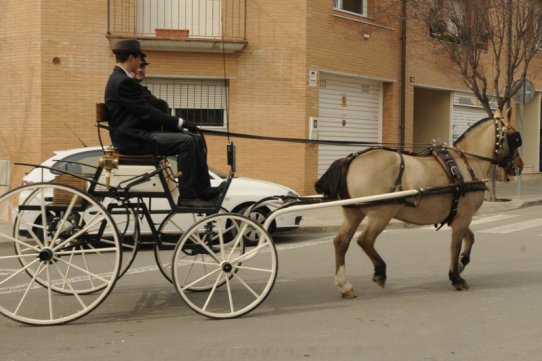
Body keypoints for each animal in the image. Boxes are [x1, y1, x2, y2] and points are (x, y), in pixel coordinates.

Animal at [316, 108, 524, 296]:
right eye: (515, 137)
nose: (520, 165)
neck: (467, 164)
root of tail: (351, 159)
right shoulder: (463, 217)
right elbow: (455, 245)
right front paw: (456, 277)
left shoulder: (458, 216)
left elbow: (470, 238)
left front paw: (461, 263)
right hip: (381, 213)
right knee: (365, 240)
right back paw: (380, 272)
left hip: (354, 212)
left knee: (341, 242)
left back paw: (344, 285)